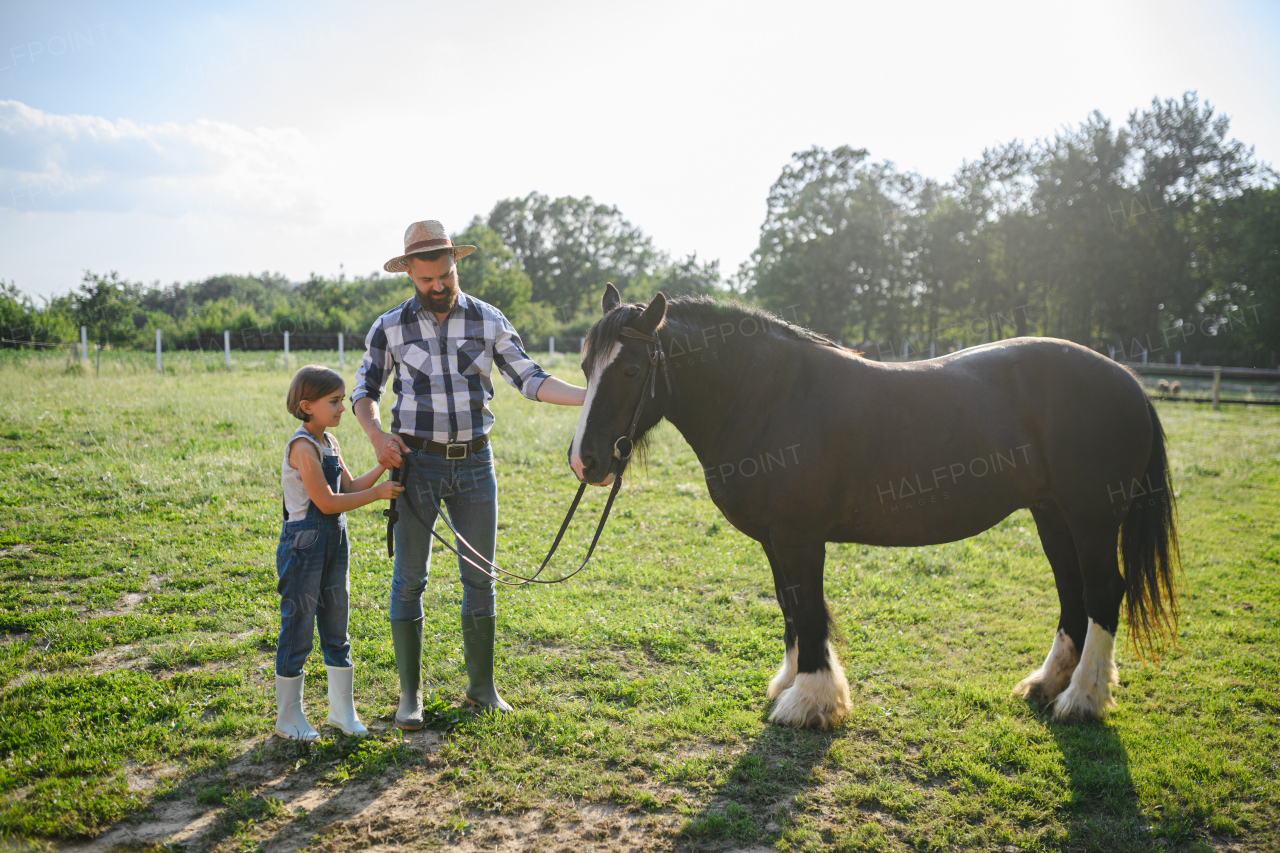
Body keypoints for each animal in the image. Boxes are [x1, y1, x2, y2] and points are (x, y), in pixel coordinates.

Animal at [570, 285, 1177, 722]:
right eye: (584, 367)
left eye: (630, 370)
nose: (585, 461)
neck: (768, 396)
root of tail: (1127, 379)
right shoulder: (776, 538)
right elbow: (789, 606)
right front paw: (791, 683)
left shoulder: (799, 536)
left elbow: (808, 610)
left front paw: (810, 702)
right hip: (1053, 515)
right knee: (1072, 592)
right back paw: (1047, 685)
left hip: (1092, 516)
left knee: (1104, 592)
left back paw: (1083, 700)